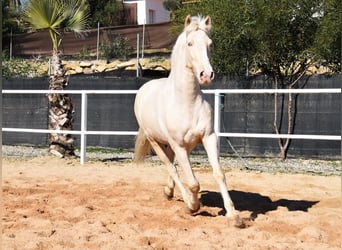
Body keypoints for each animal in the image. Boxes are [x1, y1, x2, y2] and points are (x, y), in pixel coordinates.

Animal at [134, 15, 240, 223]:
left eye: (209, 44)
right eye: (190, 43)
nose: (206, 75)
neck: (187, 102)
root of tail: (144, 89)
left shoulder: (208, 137)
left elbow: (219, 174)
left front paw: (233, 215)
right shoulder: (179, 145)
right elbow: (192, 182)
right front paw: (193, 206)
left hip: (180, 145)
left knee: (173, 165)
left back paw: (169, 192)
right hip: (156, 141)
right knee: (171, 167)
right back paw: (184, 199)